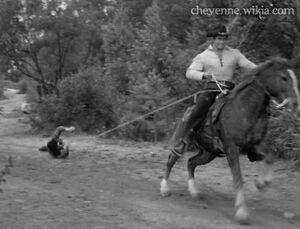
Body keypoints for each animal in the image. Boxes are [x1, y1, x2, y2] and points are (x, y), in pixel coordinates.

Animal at [161, 57, 300, 224]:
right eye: (284, 77)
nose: (295, 104)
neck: (244, 110)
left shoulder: (255, 146)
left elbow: (270, 157)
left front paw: (261, 184)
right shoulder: (231, 148)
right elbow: (238, 177)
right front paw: (241, 212)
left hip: (209, 153)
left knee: (191, 163)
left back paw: (194, 191)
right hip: (184, 141)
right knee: (172, 159)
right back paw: (164, 188)